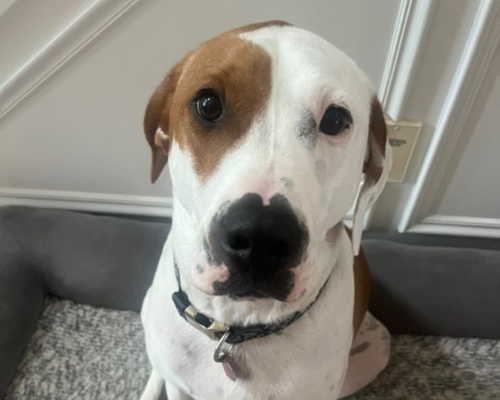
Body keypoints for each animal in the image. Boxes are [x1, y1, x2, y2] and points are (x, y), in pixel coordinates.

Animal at [139, 21, 392, 400]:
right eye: (208, 104)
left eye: (335, 119)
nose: (260, 236)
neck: (238, 327)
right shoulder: (178, 384)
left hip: (377, 347)